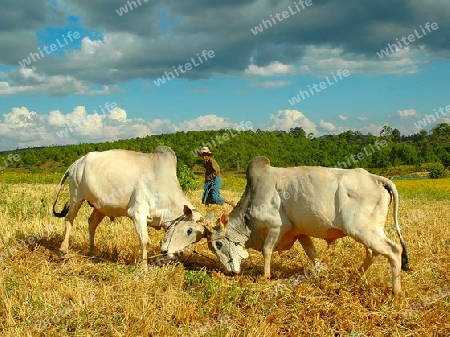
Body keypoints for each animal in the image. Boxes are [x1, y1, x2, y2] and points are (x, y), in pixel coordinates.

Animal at [51, 146, 201, 266]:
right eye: (189, 230)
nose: (174, 253)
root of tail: (76, 164)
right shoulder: (138, 213)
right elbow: (145, 241)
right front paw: (143, 268)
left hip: (100, 206)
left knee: (91, 223)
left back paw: (92, 252)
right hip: (76, 197)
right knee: (69, 220)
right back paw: (63, 249)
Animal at [162, 156, 408, 294]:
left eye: (219, 245)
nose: (231, 272)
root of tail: (376, 178)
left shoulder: (275, 227)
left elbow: (267, 251)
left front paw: (266, 276)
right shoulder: (299, 233)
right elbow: (312, 253)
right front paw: (318, 273)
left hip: (363, 230)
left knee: (394, 251)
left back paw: (395, 291)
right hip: (367, 232)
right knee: (373, 253)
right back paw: (354, 277)